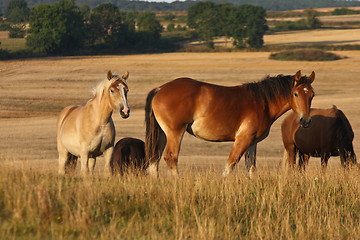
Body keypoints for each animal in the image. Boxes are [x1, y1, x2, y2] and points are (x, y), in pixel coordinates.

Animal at [146, 70, 316, 177]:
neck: (262, 102)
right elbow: (230, 165)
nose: (306, 121)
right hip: (175, 133)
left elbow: (251, 168)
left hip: (162, 134)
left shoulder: (252, 142)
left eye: (312, 95)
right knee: (170, 157)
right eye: (296, 94)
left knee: (155, 159)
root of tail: (160, 89)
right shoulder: (243, 140)